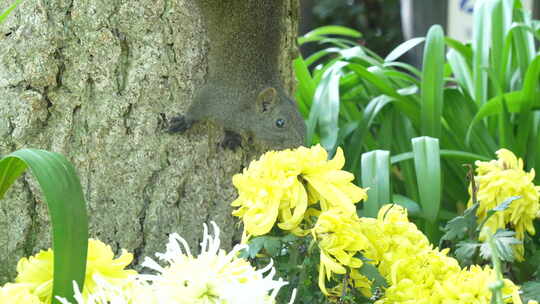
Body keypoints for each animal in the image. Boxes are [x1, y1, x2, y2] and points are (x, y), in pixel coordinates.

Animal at [169, 0, 306, 148]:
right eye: (280, 123)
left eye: (303, 125)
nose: (300, 145)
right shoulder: (215, 97)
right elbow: (197, 107)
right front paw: (185, 121)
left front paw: (231, 136)